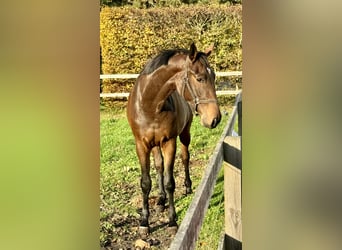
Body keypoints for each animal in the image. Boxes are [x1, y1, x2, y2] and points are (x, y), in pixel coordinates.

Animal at [127, 43, 220, 234]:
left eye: (214, 76)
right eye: (200, 78)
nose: (215, 119)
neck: (150, 105)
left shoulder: (169, 142)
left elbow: (170, 182)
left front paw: (172, 220)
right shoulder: (141, 145)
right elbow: (146, 182)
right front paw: (144, 222)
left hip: (184, 135)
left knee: (185, 158)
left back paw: (187, 186)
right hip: (155, 144)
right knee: (159, 166)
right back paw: (161, 199)